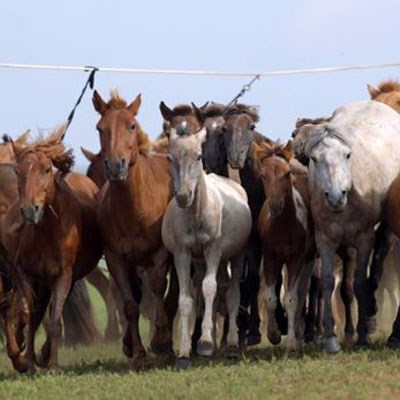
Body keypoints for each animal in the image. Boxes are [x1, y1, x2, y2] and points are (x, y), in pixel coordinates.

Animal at [2, 126, 102, 372]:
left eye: (47, 169)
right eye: (17, 171)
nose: (30, 211)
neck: (47, 233)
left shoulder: (63, 275)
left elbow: (54, 321)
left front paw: (53, 365)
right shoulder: (25, 273)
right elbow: (30, 315)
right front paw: (26, 360)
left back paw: (45, 356)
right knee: (36, 312)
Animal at [94, 89, 177, 360]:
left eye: (131, 125)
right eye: (100, 128)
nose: (115, 165)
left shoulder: (160, 254)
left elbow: (159, 288)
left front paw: (161, 340)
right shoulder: (116, 258)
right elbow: (130, 304)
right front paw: (138, 351)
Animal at [159, 101, 250, 368]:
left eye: (198, 156)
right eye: (170, 157)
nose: (183, 196)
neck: (197, 213)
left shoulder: (214, 251)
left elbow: (211, 289)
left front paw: (207, 343)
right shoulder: (183, 254)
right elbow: (187, 298)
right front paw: (184, 353)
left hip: (236, 255)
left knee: (231, 293)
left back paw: (231, 345)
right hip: (199, 261)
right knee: (201, 289)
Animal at [300, 101, 400, 354]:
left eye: (347, 155)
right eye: (315, 159)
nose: (336, 197)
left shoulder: (364, 240)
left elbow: (359, 282)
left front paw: (363, 336)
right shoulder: (325, 240)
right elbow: (327, 282)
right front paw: (330, 339)